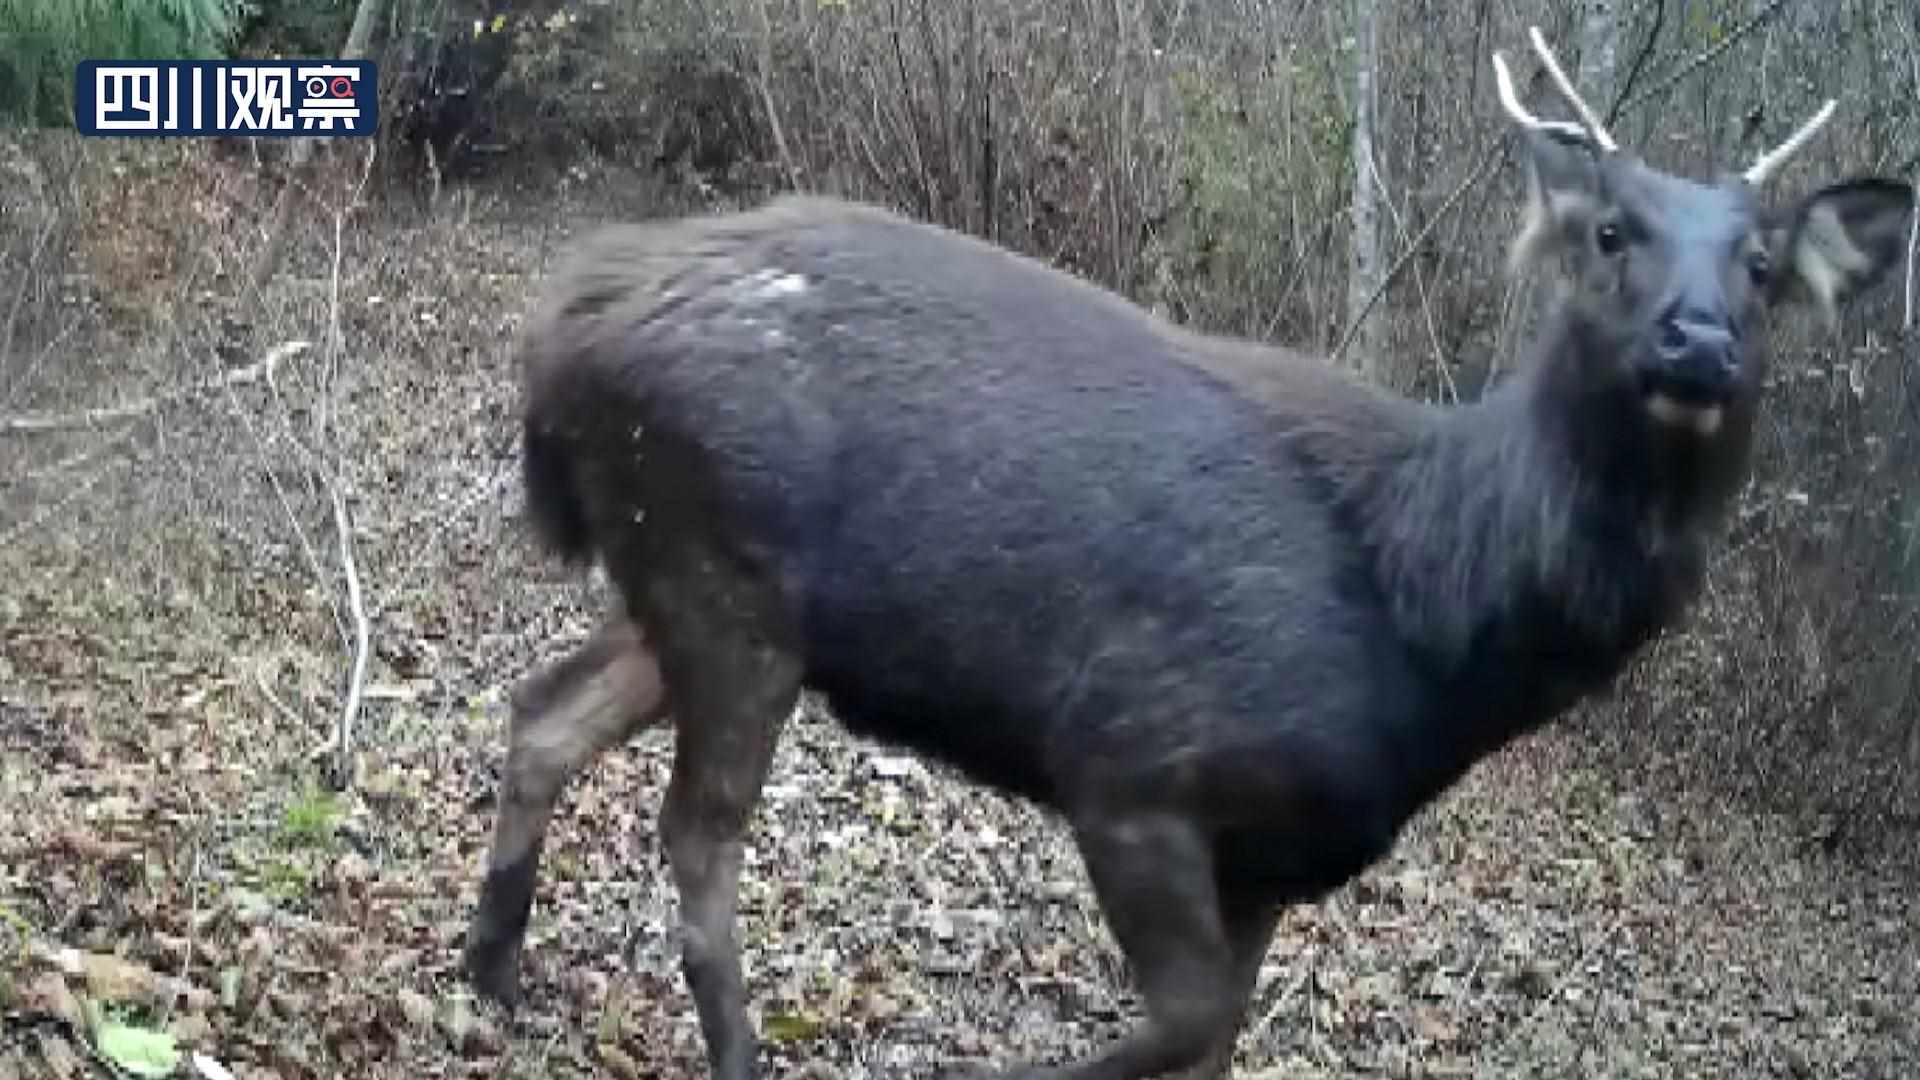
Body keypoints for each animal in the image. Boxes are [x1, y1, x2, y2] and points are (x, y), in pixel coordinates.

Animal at [456, 29, 1912, 1076]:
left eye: (1764, 267)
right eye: (1612, 233)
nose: (1698, 339)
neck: (1429, 618)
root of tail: (560, 322)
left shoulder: (1274, 862)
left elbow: (1216, 1040)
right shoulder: (1133, 759)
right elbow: (1180, 1026)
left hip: (685, 582)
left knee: (543, 711)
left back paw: (492, 975)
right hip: (725, 574)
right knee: (695, 845)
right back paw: (719, 1048)